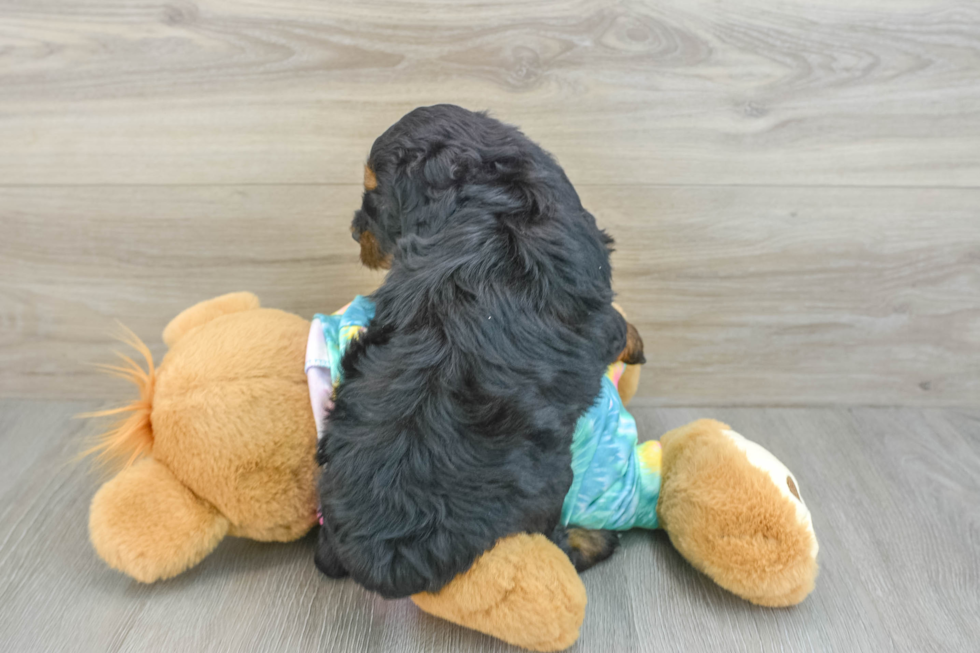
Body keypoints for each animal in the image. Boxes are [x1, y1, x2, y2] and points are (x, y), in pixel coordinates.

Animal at [314, 104, 644, 600]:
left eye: (375, 196)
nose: (355, 231)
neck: (487, 187)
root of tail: (385, 555)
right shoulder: (599, 308)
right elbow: (619, 327)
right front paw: (636, 342)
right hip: (550, 482)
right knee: (551, 542)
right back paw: (592, 539)